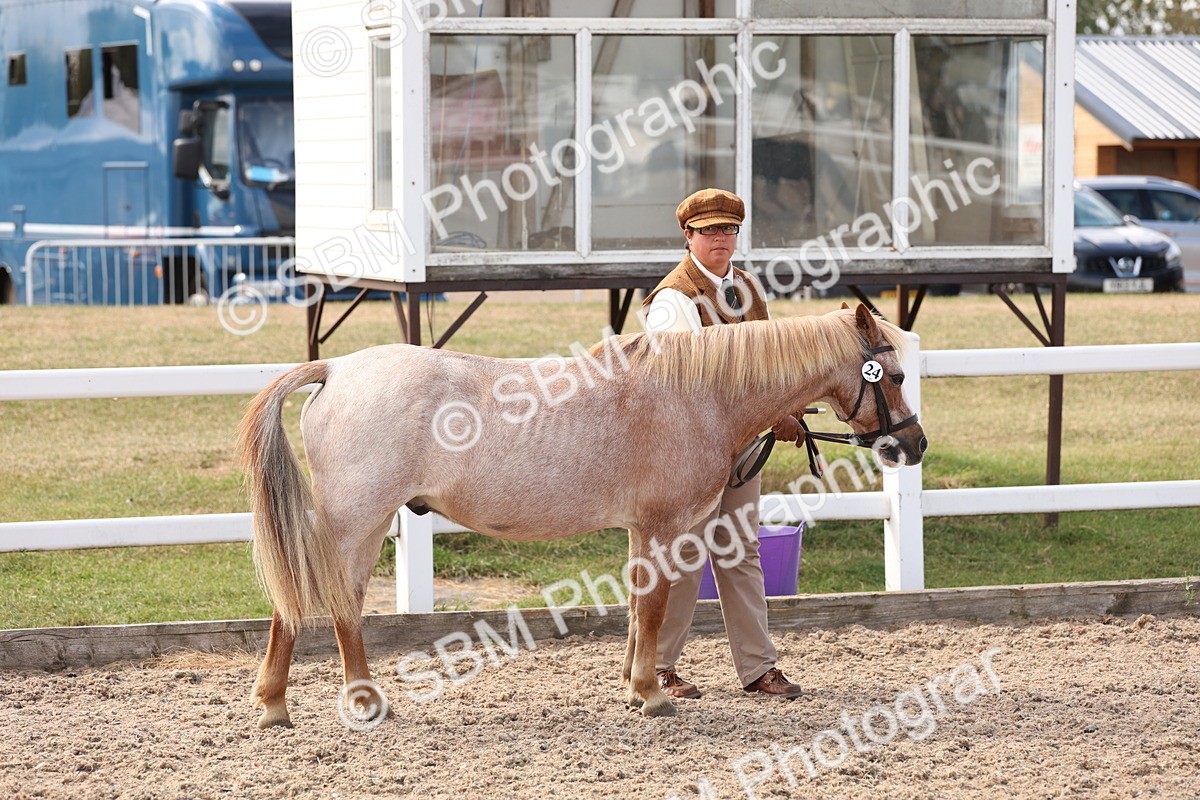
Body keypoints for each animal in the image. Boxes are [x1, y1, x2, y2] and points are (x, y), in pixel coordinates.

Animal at [237, 303, 926, 728]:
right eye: (891, 374)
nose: (913, 445)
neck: (696, 394)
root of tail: (336, 368)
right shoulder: (662, 526)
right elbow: (654, 607)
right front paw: (651, 695)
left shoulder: (644, 531)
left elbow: (639, 608)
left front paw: (632, 684)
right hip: (356, 522)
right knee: (324, 601)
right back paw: (321, 702)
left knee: (322, 603)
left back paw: (313, 703)